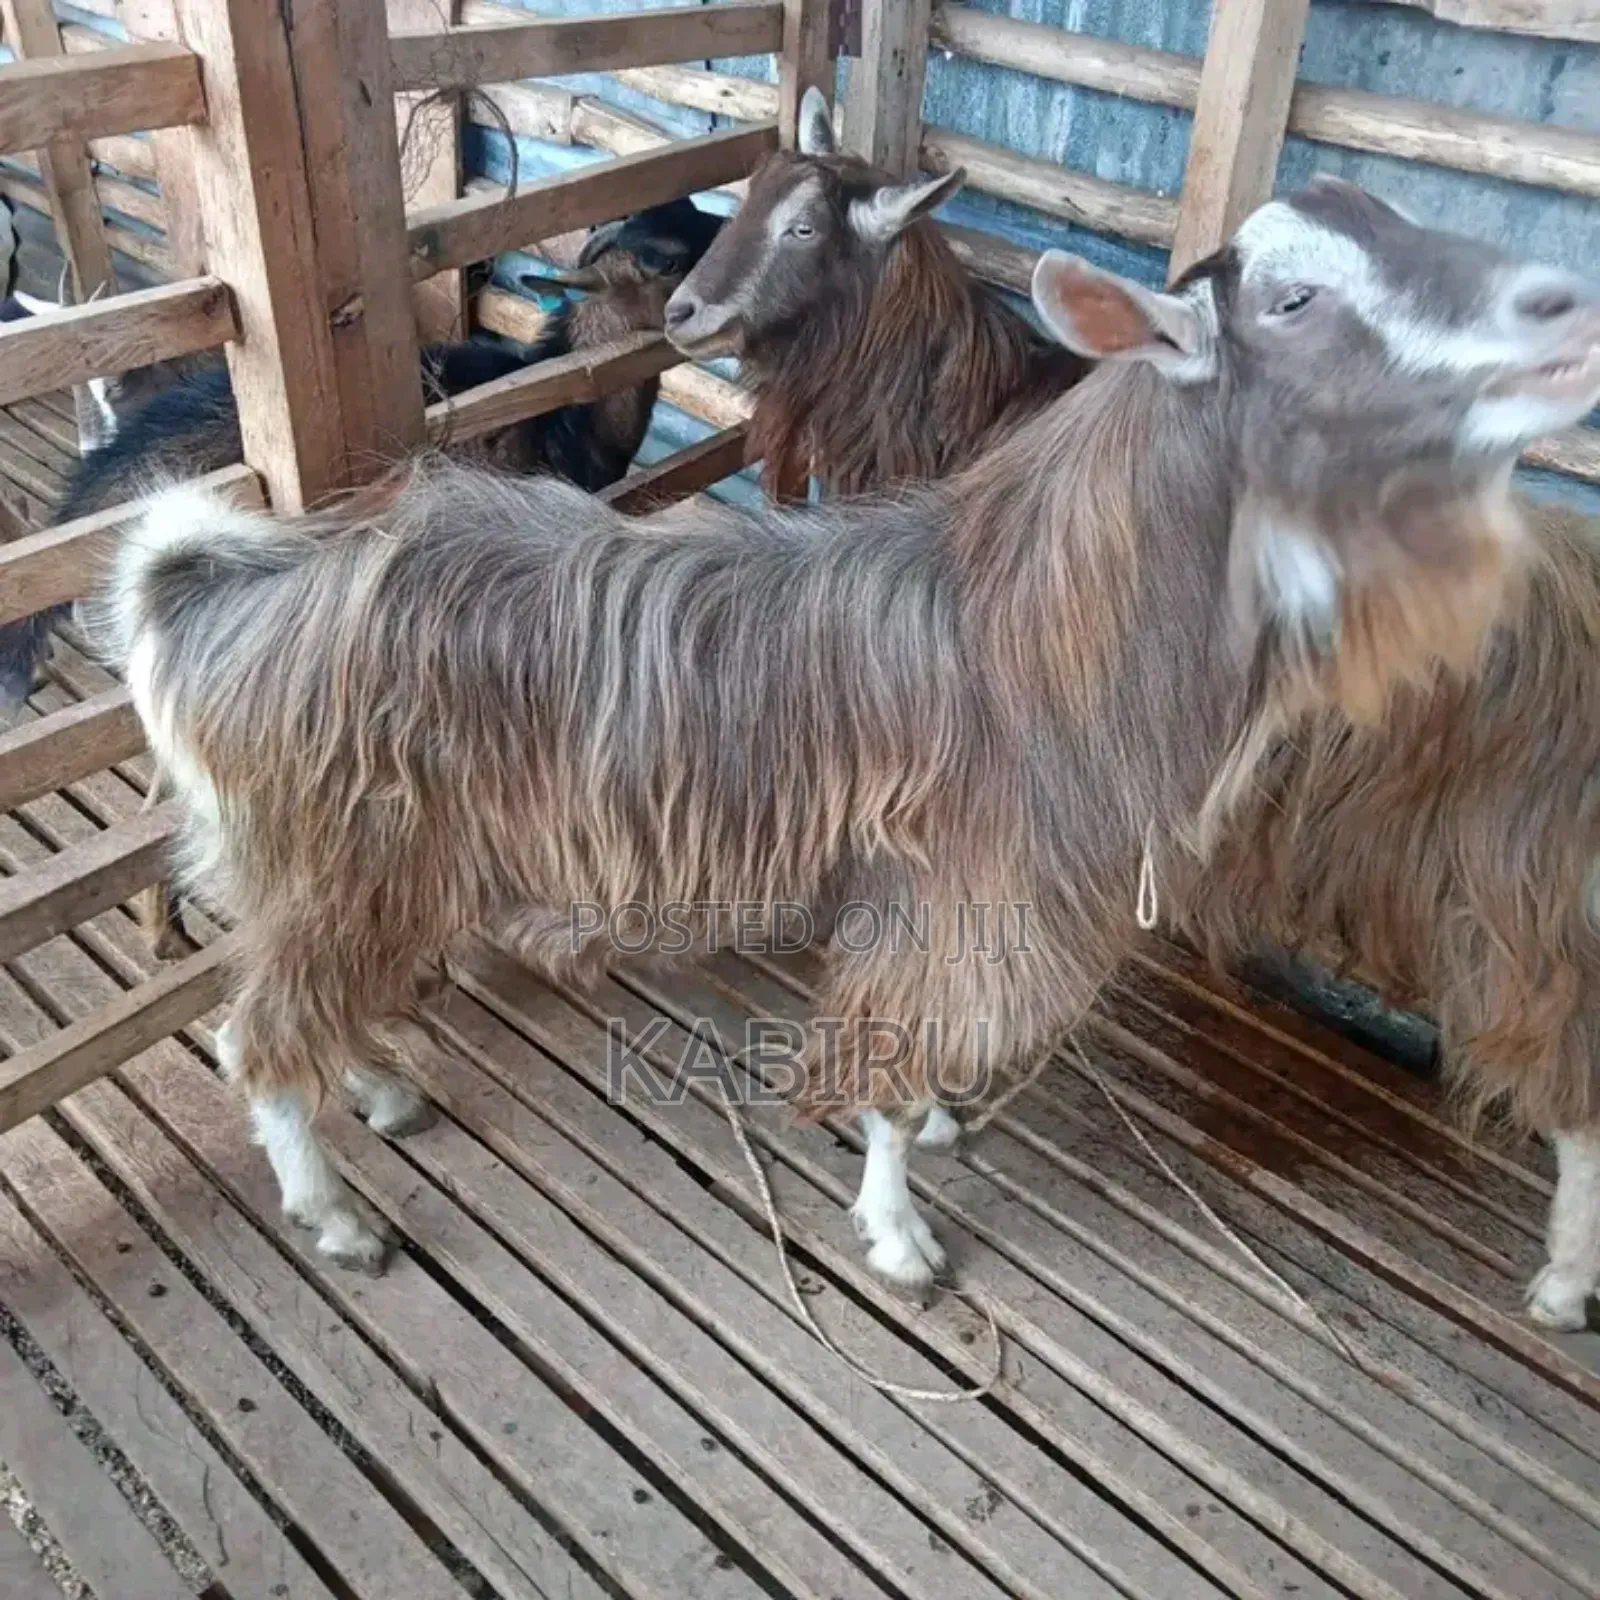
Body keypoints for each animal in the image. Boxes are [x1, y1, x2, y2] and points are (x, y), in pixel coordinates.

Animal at [99, 183, 1598, 1285]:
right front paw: (899, 1233)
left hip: (340, 865)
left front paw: (928, 1134)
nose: (1560, 309)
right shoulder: (964, 886)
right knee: (253, 1040)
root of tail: (215, 588)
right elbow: (883, 1054)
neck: (1038, 621)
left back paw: (375, 1092)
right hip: (344, 850)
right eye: (1292, 299)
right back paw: (338, 1215)